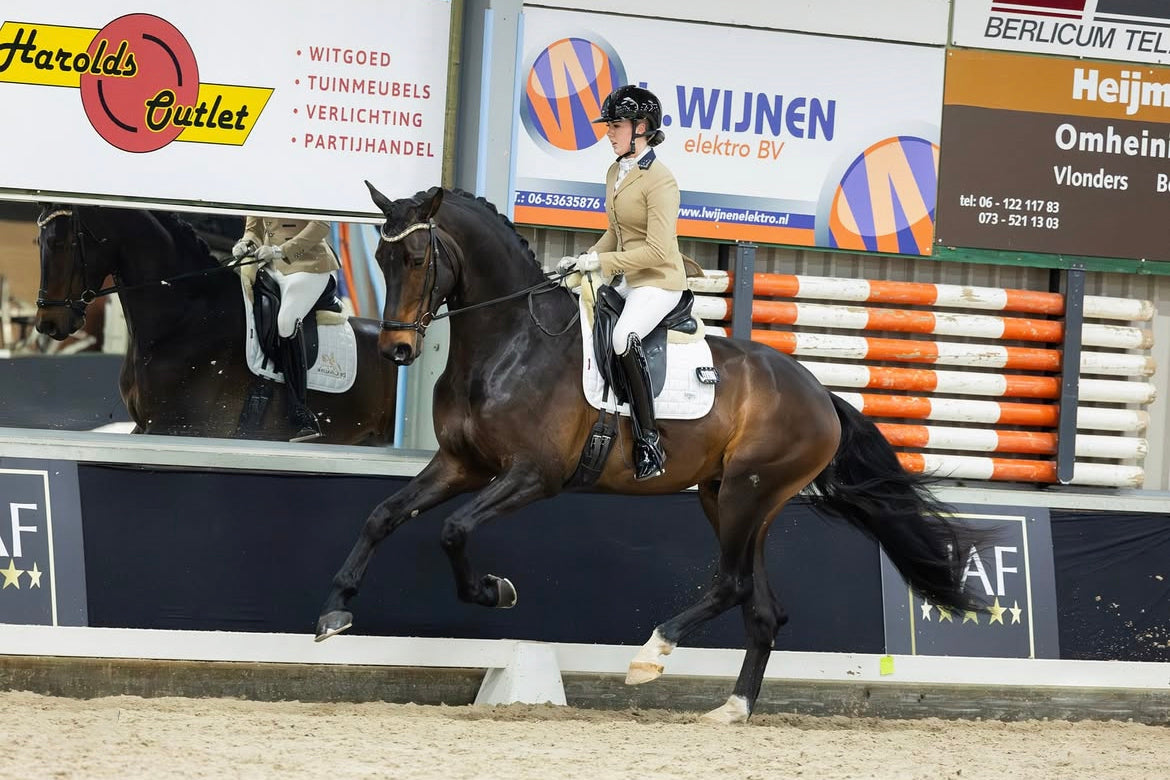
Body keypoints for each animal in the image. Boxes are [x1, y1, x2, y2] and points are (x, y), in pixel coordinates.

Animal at [34, 204, 397, 444]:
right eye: (40, 243)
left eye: (62, 244)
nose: (48, 324)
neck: (184, 318)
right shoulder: (147, 425)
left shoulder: (175, 426)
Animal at [314, 184, 981, 723]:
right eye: (380, 260)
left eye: (416, 259)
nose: (396, 351)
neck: (511, 342)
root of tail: (819, 393)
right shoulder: (461, 465)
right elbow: (383, 516)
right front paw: (334, 613)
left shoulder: (533, 475)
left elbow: (453, 530)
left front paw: (495, 590)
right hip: (732, 498)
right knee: (762, 607)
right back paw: (732, 709)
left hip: (746, 493)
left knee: (732, 583)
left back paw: (651, 656)